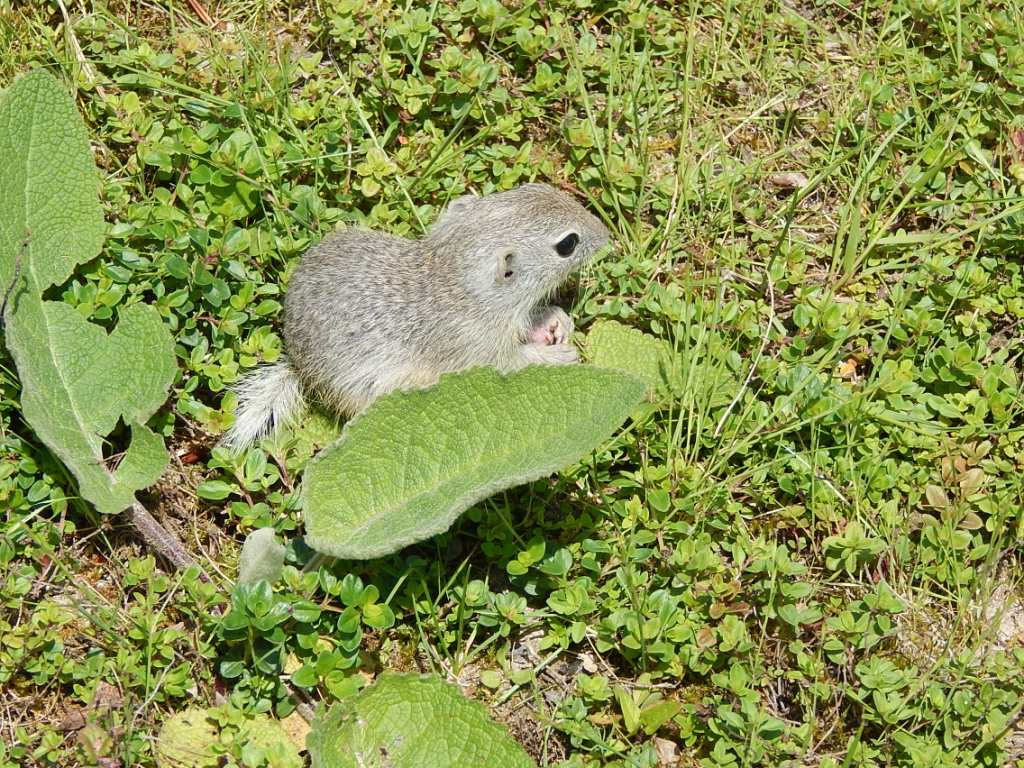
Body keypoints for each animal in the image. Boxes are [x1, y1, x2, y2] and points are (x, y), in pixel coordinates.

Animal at [222, 183, 606, 450]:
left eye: (535, 187)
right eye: (567, 244)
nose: (606, 234)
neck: (456, 280)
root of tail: (298, 366)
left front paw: (555, 321)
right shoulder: (475, 350)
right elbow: (514, 364)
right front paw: (559, 354)